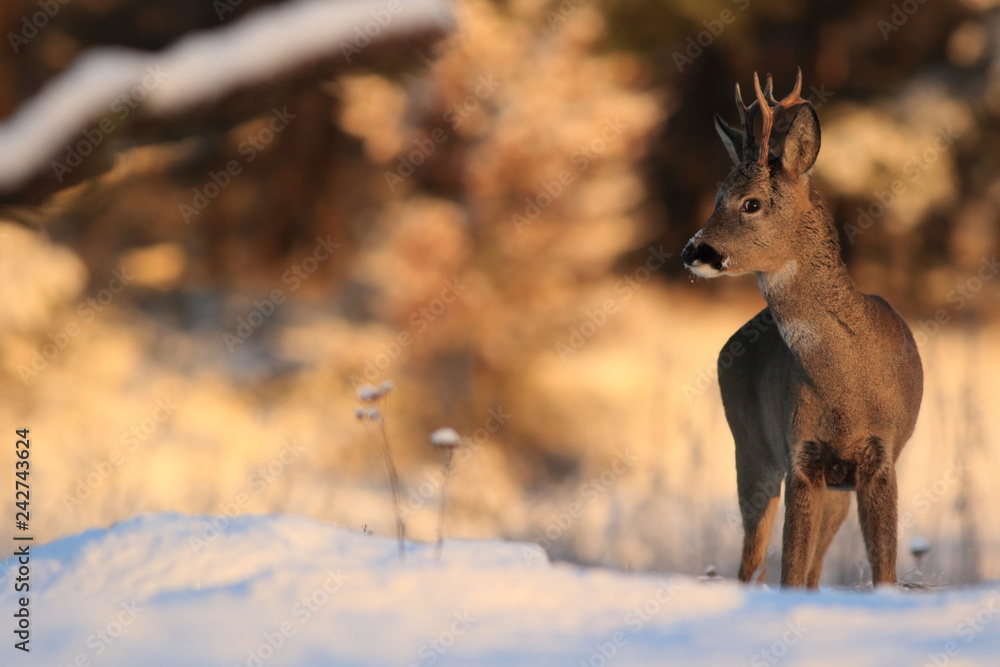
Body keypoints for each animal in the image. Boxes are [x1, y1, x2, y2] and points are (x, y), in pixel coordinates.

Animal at [681, 70, 923, 588]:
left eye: (750, 203)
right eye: (716, 198)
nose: (694, 251)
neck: (849, 382)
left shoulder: (880, 458)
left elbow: (883, 570)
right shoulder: (800, 456)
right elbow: (788, 569)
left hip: (830, 486)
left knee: (811, 571)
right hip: (749, 447)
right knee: (751, 563)